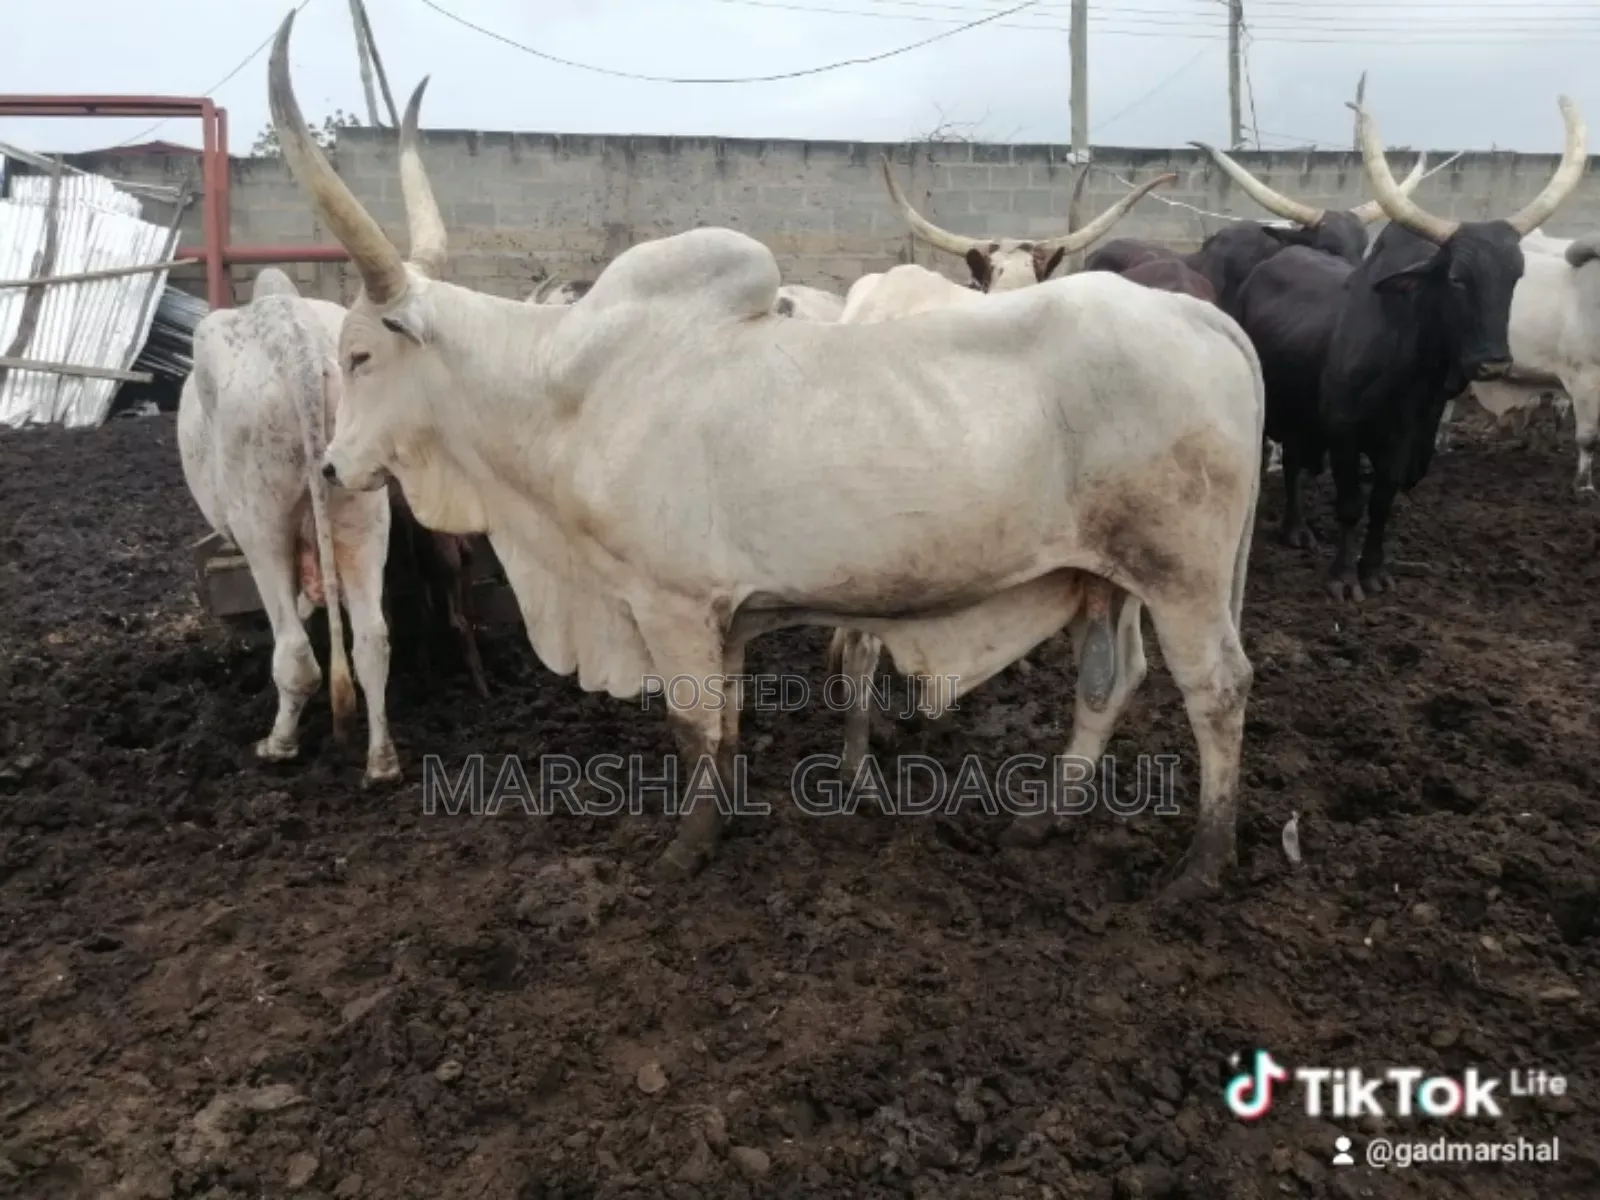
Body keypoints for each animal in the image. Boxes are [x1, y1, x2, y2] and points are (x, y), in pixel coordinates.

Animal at [177, 267, 398, 785]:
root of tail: (299, 347)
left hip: (261, 524)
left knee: (296, 654)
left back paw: (279, 743)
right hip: (363, 511)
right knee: (371, 641)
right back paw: (381, 762)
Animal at [267, 12, 1267, 900]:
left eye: (361, 356)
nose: (332, 469)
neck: (567, 388)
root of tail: (1202, 316)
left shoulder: (669, 605)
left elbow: (691, 725)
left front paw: (687, 850)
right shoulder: (727, 616)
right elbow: (726, 723)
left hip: (1182, 573)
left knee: (1218, 687)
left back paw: (1202, 867)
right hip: (1108, 575)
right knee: (1109, 681)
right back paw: (1048, 816)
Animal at [1233, 97, 1585, 598]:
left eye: (1515, 274)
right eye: (1456, 278)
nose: (1493, 363)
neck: (1407, 371)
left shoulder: (1405, 439)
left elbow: (1382, 502)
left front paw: (1374, 571)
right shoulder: (1344, 431)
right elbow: (1350, 503)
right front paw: (1343, 578)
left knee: (1298, 457)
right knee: (1289, 458)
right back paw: (1295, 528)